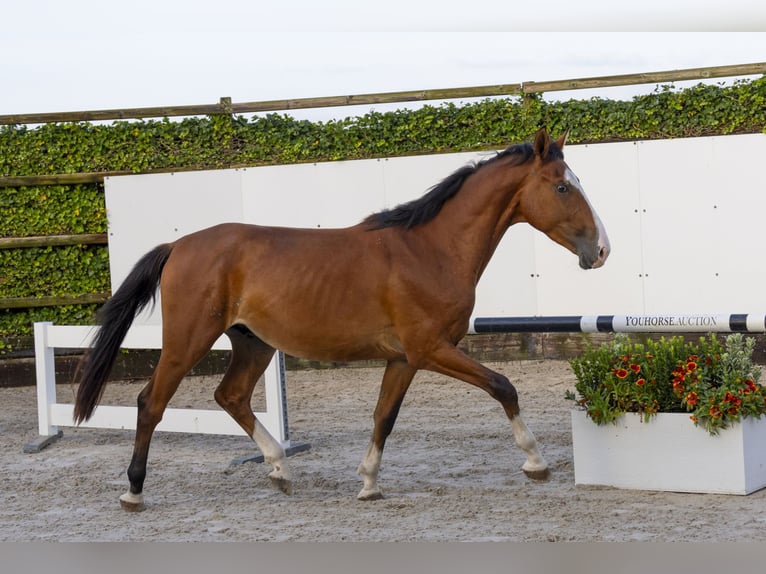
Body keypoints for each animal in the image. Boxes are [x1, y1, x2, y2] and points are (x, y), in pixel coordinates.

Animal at [72, 128, 612, 510]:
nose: (602, 250)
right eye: (562, 187)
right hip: (189, 340)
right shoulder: (431, 349)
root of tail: (178, 245)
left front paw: (369, 483)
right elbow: (504, 386)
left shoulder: (404, 358)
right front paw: (536, 463)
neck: (430, 249)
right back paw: (134, 491)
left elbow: (383, 416)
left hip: (252, 342)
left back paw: (280, 470)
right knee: (151, 403)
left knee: (230, 396)